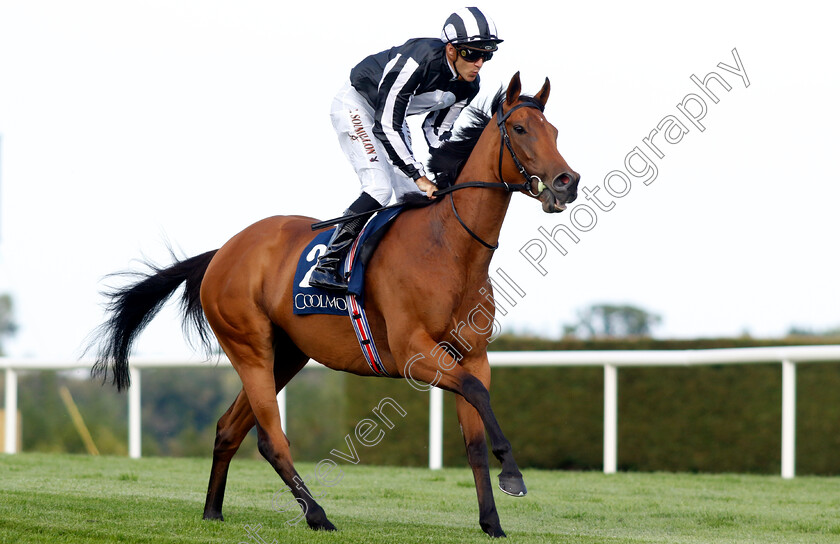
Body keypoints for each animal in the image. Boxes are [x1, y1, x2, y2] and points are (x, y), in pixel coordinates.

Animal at [92, 73, 576, 540]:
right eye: (519, 129)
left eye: (554, 130)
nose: (566, 182)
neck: (449, 248)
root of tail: (222, 252)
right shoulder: (415, 353)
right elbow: (476, 394)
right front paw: (513, 475)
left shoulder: (471, 355)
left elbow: (474, 433)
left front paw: (492, 522)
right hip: (249, 346)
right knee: (270, 438)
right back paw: (317, 516)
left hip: (286, 354)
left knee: (230, 427)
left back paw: (213, 512)